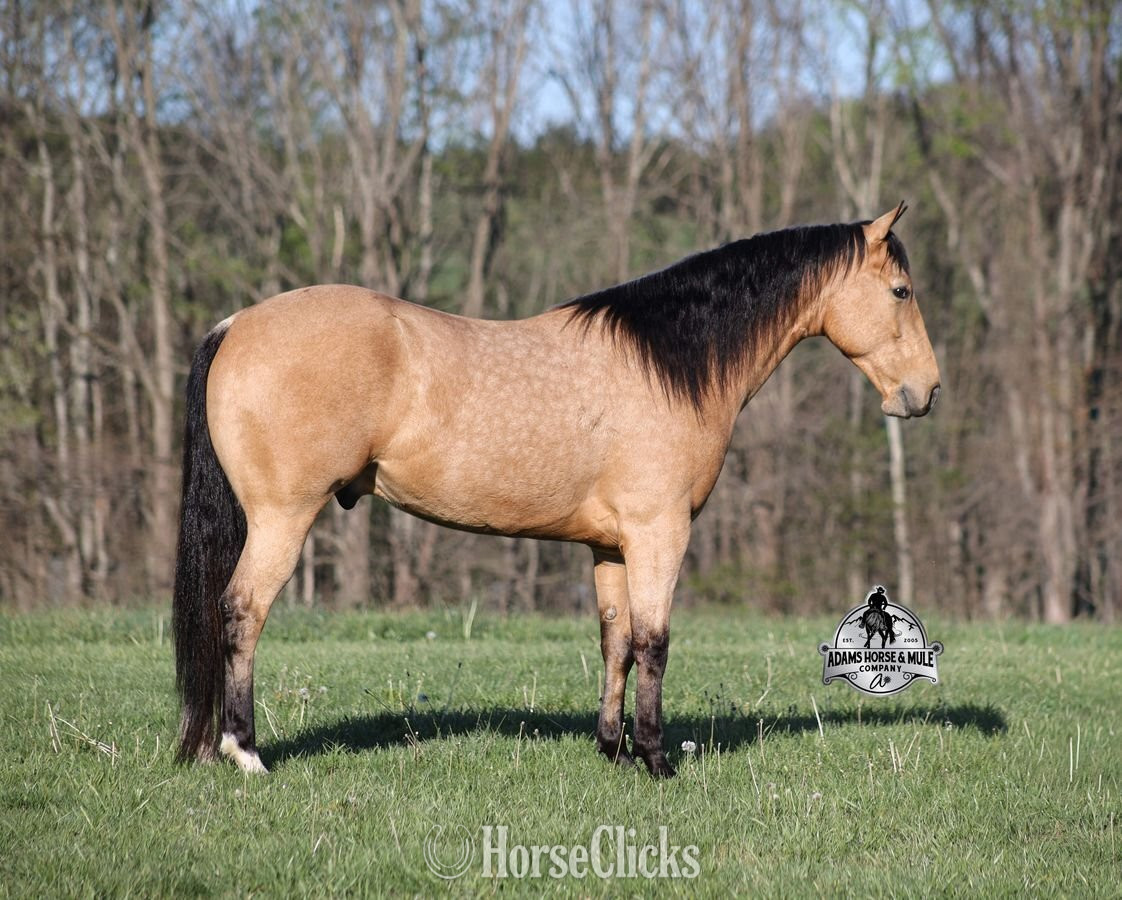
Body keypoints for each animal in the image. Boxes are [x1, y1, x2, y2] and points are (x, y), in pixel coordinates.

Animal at [173, 203, 939, 778]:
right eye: (901, 292)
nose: (925, 392)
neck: (668, 366)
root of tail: (235, 325)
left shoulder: (609, 546)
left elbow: (615, 641)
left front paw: (613, 750)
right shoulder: (660, 532)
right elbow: (654, 640)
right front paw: (656, 759)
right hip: (282, 518)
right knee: (241, 612)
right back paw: (245, 752)